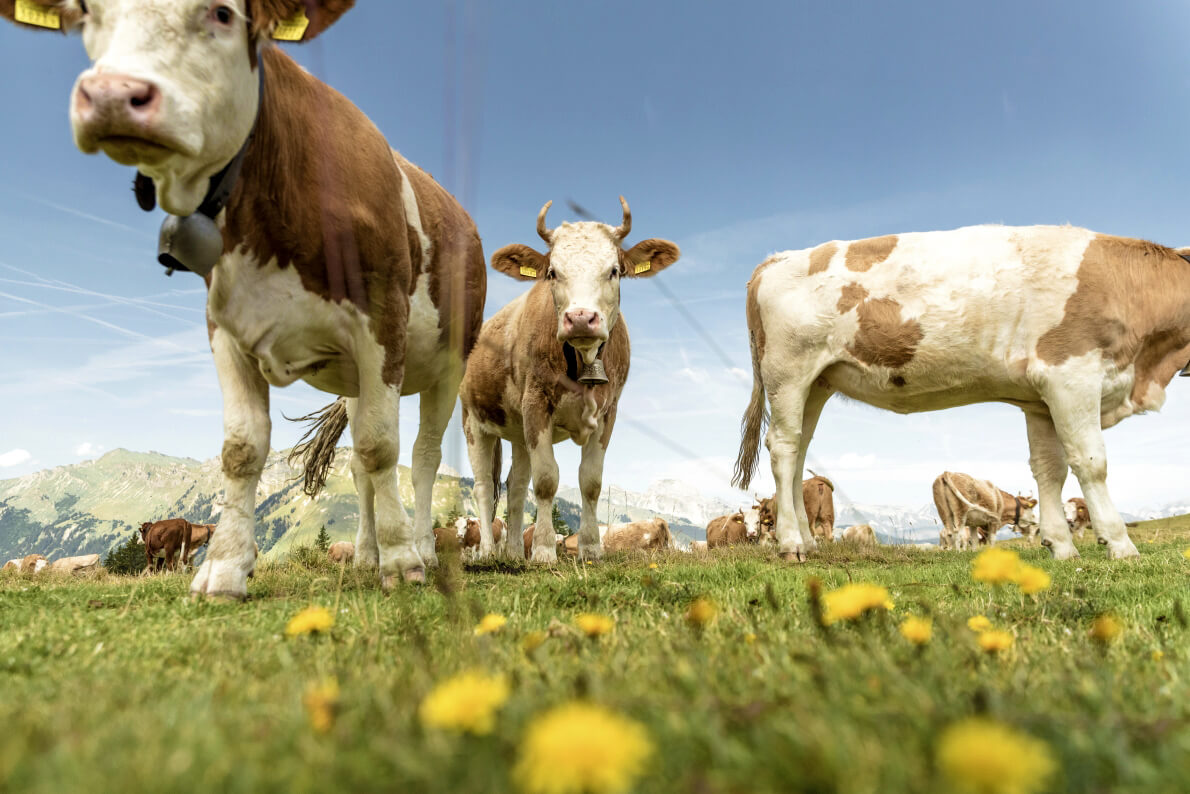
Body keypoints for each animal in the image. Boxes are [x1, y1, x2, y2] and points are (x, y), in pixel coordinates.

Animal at [1, 0, 483, 599]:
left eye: (223, 14)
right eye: (87, 15)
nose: (112, 95)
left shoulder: (382, 319)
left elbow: (380, 446)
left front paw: (402, 564)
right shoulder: (226, 328)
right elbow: (243, 449)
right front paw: (225, 569)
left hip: (447, 363)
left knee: (421, 457)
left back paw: (418, 550)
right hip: (353, 380)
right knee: (361, 471)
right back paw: (366, 556)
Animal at [454, 197, 680, 564]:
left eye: (614, 271)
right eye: (552, 273)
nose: (581, 318)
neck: (582, 358)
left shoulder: (608, 412)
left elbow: (590, 481)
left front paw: (590, 548)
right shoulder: (536, 402)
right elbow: (547, 479)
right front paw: (545, 550)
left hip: (518, 431)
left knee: (516, 486)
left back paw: (514, 552)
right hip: (473, 420)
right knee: (484, 487)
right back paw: (489, 551)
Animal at [733, 223, 1190, 561]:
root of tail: (778, 259)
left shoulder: (1039, 400)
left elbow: (1049, 470)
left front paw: (1060, 547)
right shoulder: (1070, 376)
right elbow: (1092, 463)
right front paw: (1120, 545)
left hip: (817, 383)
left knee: (799, 453)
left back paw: (808, 542)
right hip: (789, 373)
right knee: (784, 447)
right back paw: (791, 545)